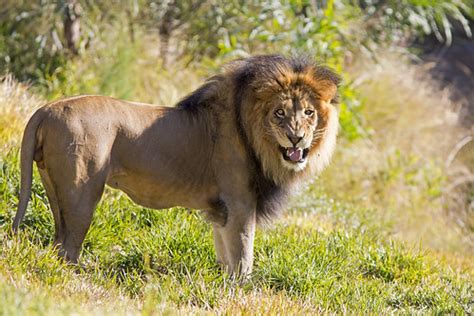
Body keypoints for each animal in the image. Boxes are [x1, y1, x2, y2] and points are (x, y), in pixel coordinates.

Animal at [12, 55, 340, 276]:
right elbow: (243, 256)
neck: (257, 137)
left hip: (53, 187)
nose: (296, 138)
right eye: (279, 113)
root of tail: (46, 109)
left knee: (58, 241)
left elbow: (225, 252)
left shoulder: (222, 211)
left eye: (309, 112)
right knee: (68, 246)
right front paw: (243, 290)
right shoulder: (240, 203)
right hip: (82, 193)